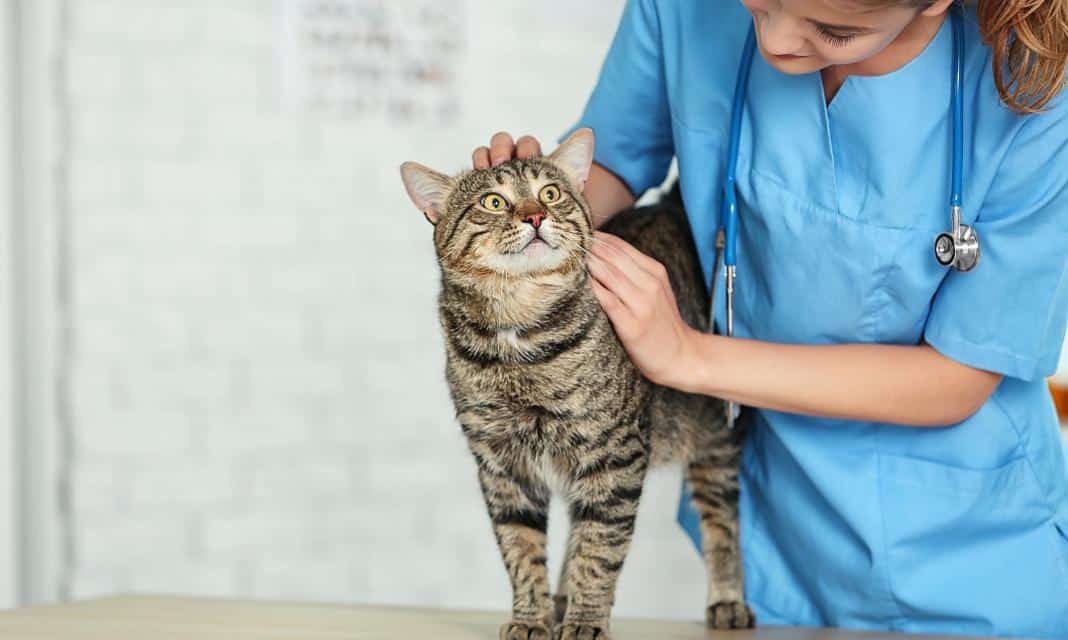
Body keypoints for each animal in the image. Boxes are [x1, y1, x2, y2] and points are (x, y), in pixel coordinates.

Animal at [399, 130, 751, 640]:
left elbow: (599, 548)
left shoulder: (614, 456)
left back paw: (727, 600)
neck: (519, 334)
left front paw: (586, 620)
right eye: (493, 201)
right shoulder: (502, 467)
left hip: (715, 439)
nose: (535, 216)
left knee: (722, 521)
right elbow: (521, 548)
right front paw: (531, 617)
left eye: (550, 193)